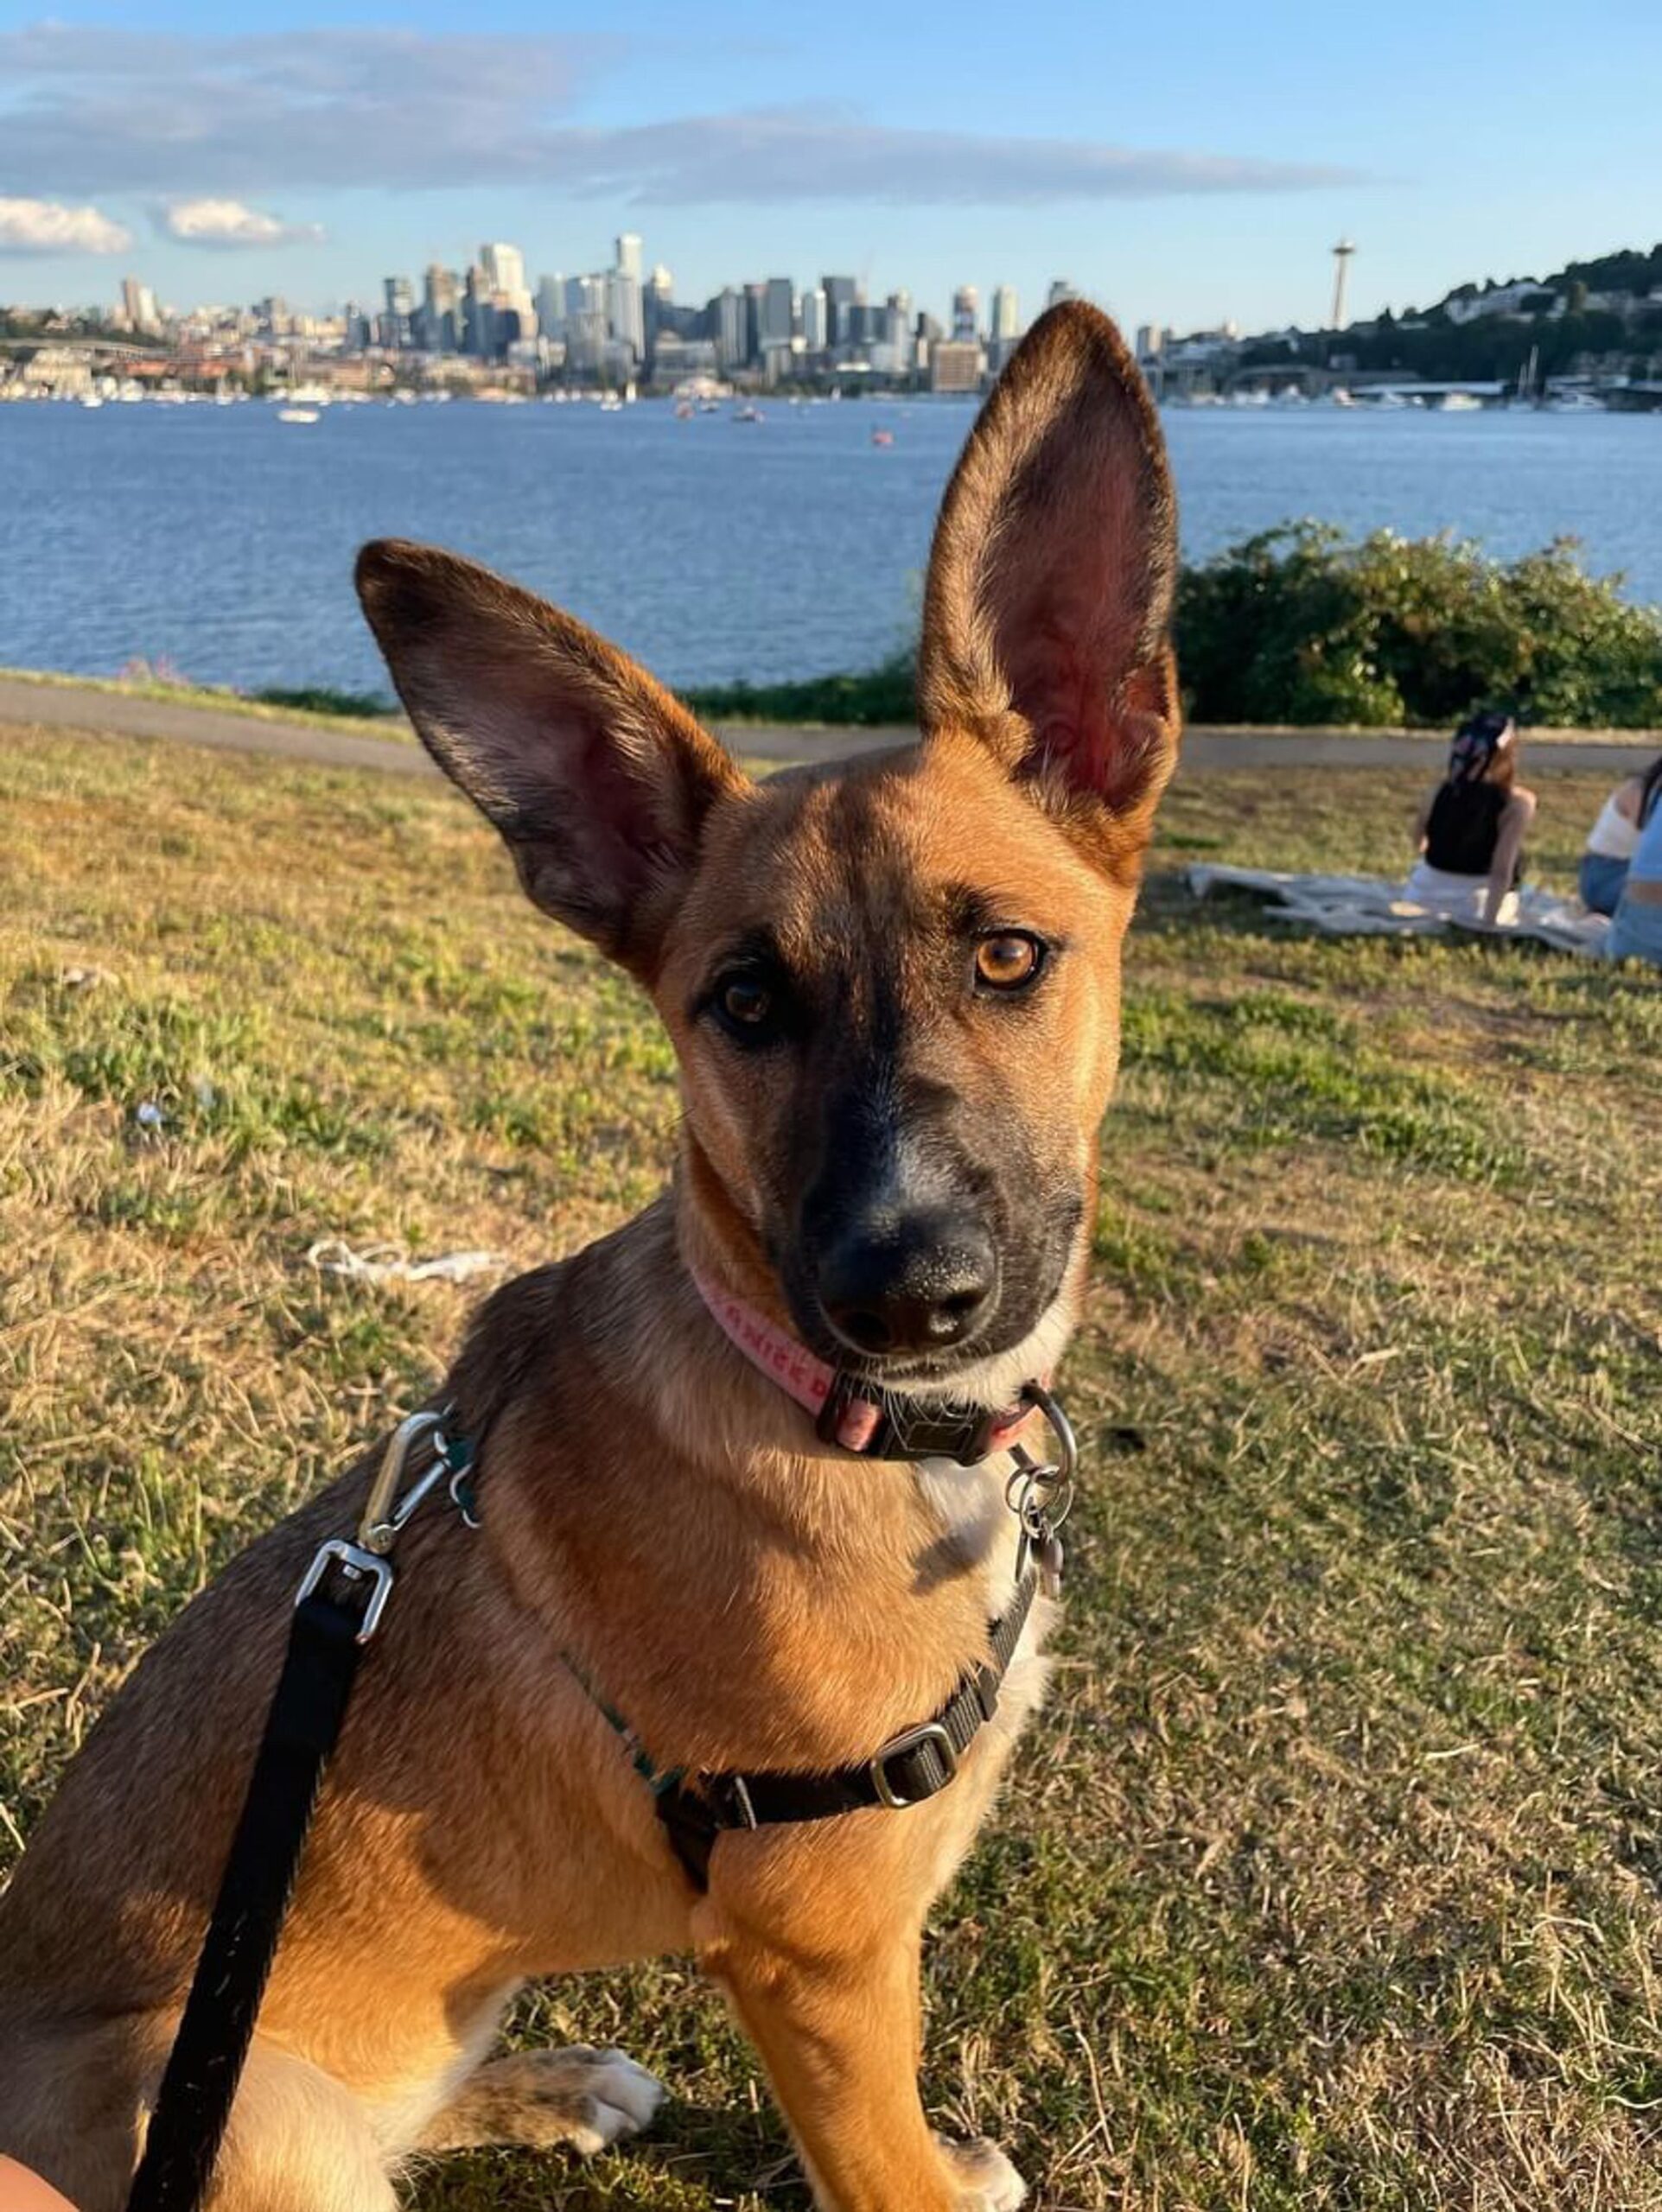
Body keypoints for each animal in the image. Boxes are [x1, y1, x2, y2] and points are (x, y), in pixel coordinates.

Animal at [0, 307, 1186, 2212]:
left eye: (1007, 955)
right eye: (744, 1004)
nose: (906, 1294)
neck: (828, 1417)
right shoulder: (817, 1955)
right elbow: (884, 2168)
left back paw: (550, 2083)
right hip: (245, 2109)